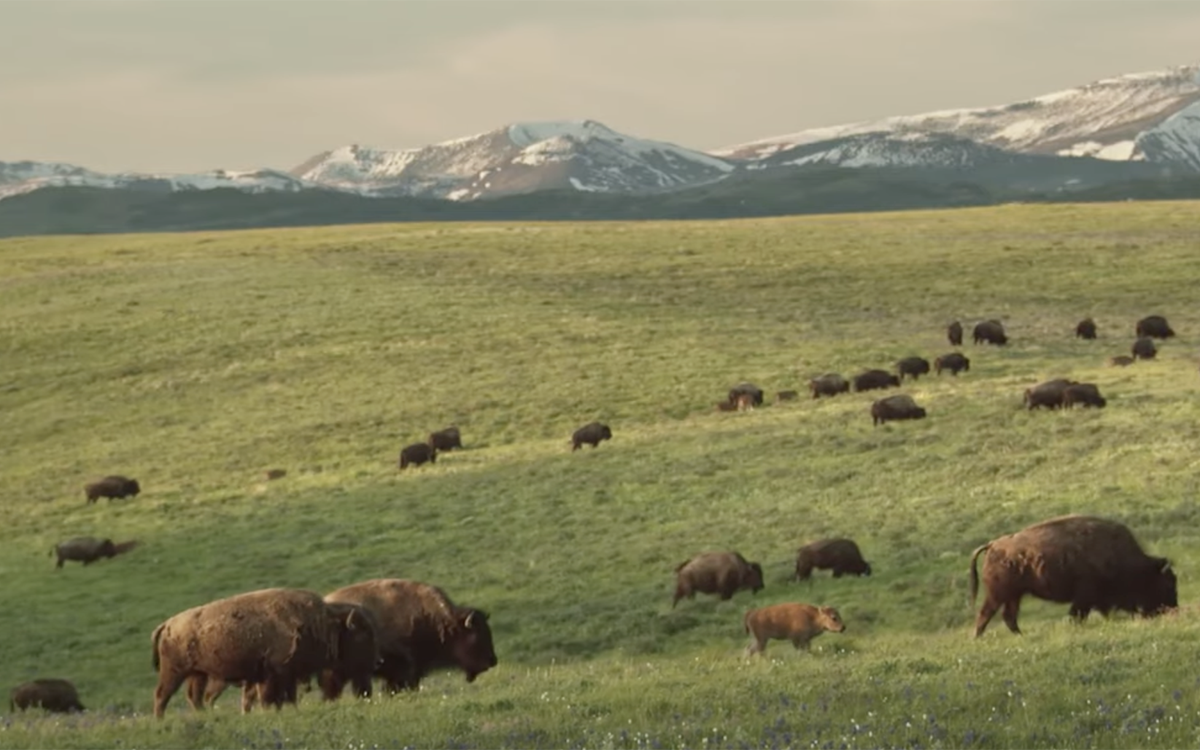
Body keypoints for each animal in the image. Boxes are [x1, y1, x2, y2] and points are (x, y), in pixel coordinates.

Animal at [152, 585, 379, 715]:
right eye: (362, 634)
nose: (379, 661)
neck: (323, 621)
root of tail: (166, 624)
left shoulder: (287, 674)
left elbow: (288, 697)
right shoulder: (272, 674)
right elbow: (269, 697)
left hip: (198, 674)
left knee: (194, 697)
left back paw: (205, 717)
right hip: (174, 672)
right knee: (162, 695)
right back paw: (160, 721)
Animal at [969, 513, 1176, 638]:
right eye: (1166, 583)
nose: (1173, 609)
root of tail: (992, 545)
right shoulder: (1085, 597)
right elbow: (1078, 614)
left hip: (1014, 595)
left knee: (1008, 616)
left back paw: (1020, 635)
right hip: (998, 595)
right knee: (986, 613)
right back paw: (978, 637)